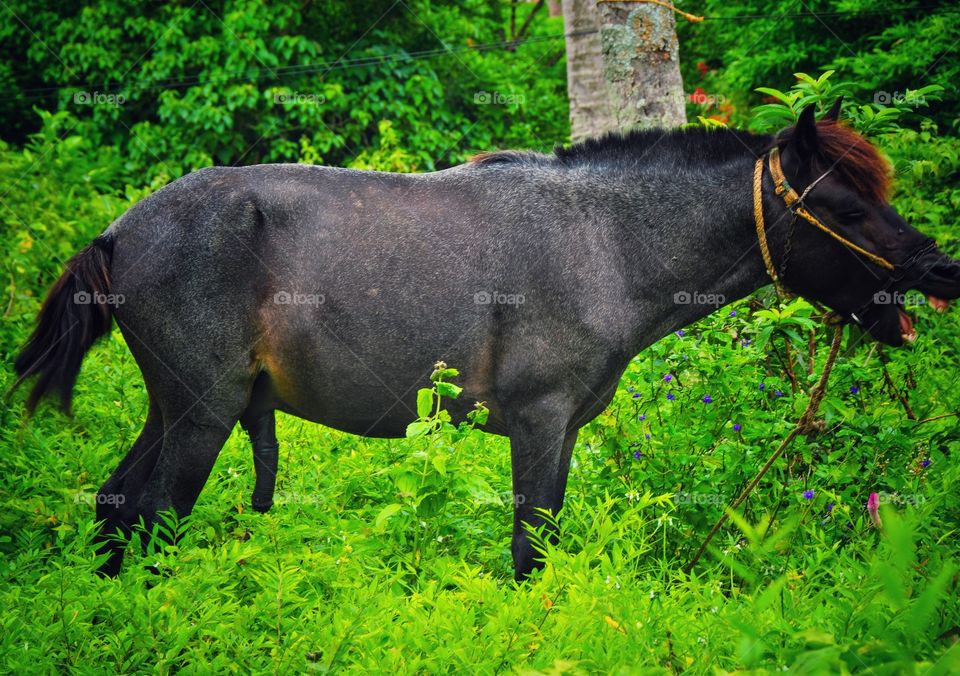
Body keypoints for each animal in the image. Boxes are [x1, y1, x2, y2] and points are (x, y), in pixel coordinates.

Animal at [13, 102, 960, 580]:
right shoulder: (538, 423)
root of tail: (117, 232)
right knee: (152, 516)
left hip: (176, 408)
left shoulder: (563, 430)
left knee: (115, 509)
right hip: (202, 415)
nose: (940, 268)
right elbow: (529, 547)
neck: (606, 240)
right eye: (846, 207)